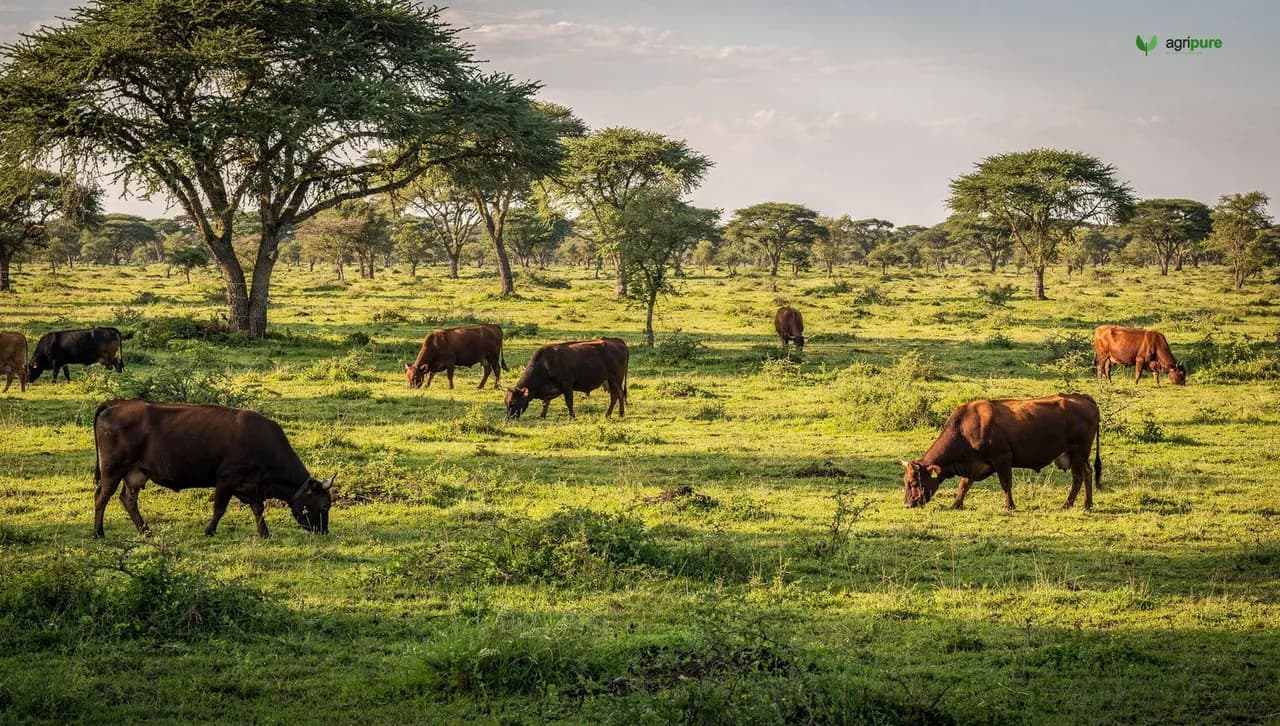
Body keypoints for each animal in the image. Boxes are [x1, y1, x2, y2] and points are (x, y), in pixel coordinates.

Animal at [92, 399, 335, 539]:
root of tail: (114, 406)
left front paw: (264, 533)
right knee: (101, 497)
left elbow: (258, 509)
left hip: (135, 473)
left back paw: (146, 531)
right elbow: (219, 508)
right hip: (112, 471)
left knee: (128, 500)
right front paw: (209, 531)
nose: (323, 531)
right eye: (325, 506)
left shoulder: (253, 485)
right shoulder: (227, 478)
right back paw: (98, 532)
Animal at [901, 393, 1101, 511]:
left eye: (913, 482)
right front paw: (955, 504)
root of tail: (1083, 398)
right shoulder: (972, 464)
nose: (907, 504)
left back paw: (1067, 504)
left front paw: (1009, 505)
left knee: (1078, 477)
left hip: (1078, 452)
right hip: (1079, 455)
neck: (966, 428)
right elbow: (964, 485)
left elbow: (1006, 484)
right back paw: (1087, 504)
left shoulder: (1002, 458)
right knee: (1087, 473)